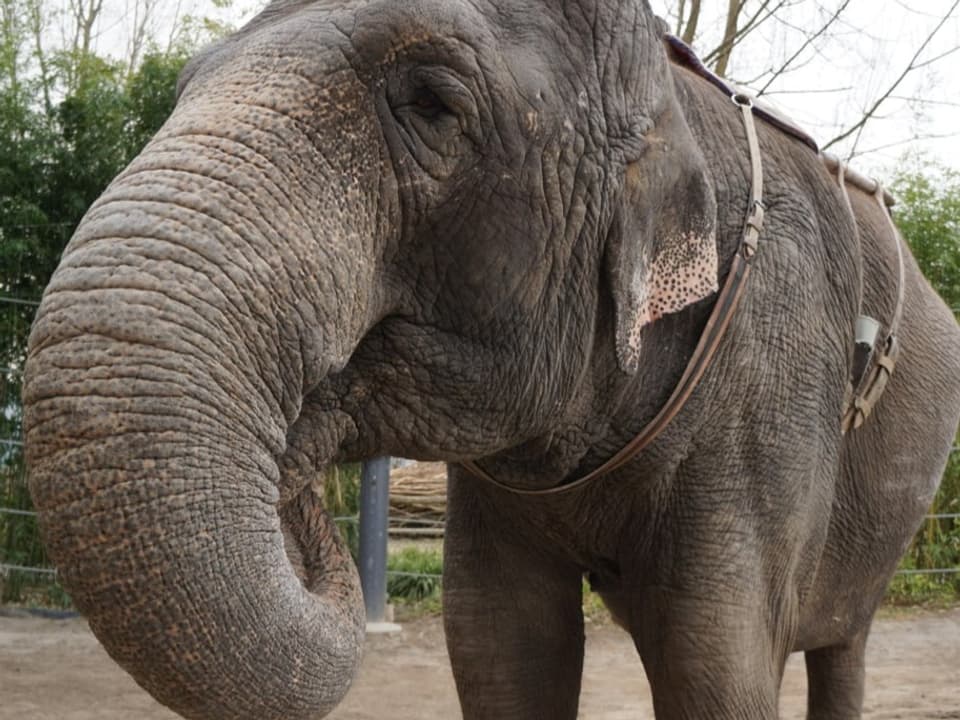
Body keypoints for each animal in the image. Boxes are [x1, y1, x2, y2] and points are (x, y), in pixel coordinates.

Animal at [20, 1, 960, 720]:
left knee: (838, 638)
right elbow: (497, 643)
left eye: (432, 103)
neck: (666, 94)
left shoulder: (769, 383)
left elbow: (714, 664)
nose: (300, 494)